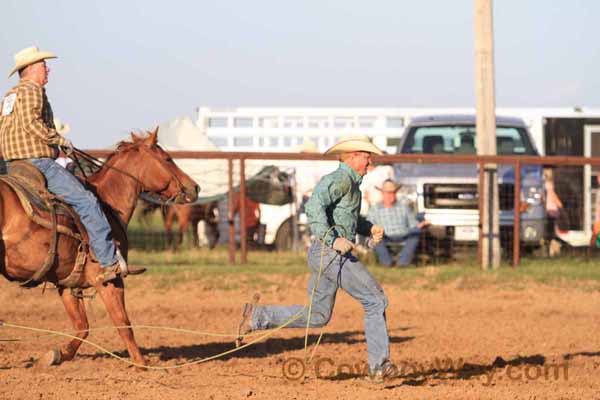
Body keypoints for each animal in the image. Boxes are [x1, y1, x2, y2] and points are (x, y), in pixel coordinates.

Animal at [0, 129, 202, 368]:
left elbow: (82, 327)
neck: (106, 202)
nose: (194, 187)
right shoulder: (109, 280)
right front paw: (142, 364)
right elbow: (123, 323)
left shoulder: (66, 283)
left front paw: (56, 355)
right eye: (167, 158)